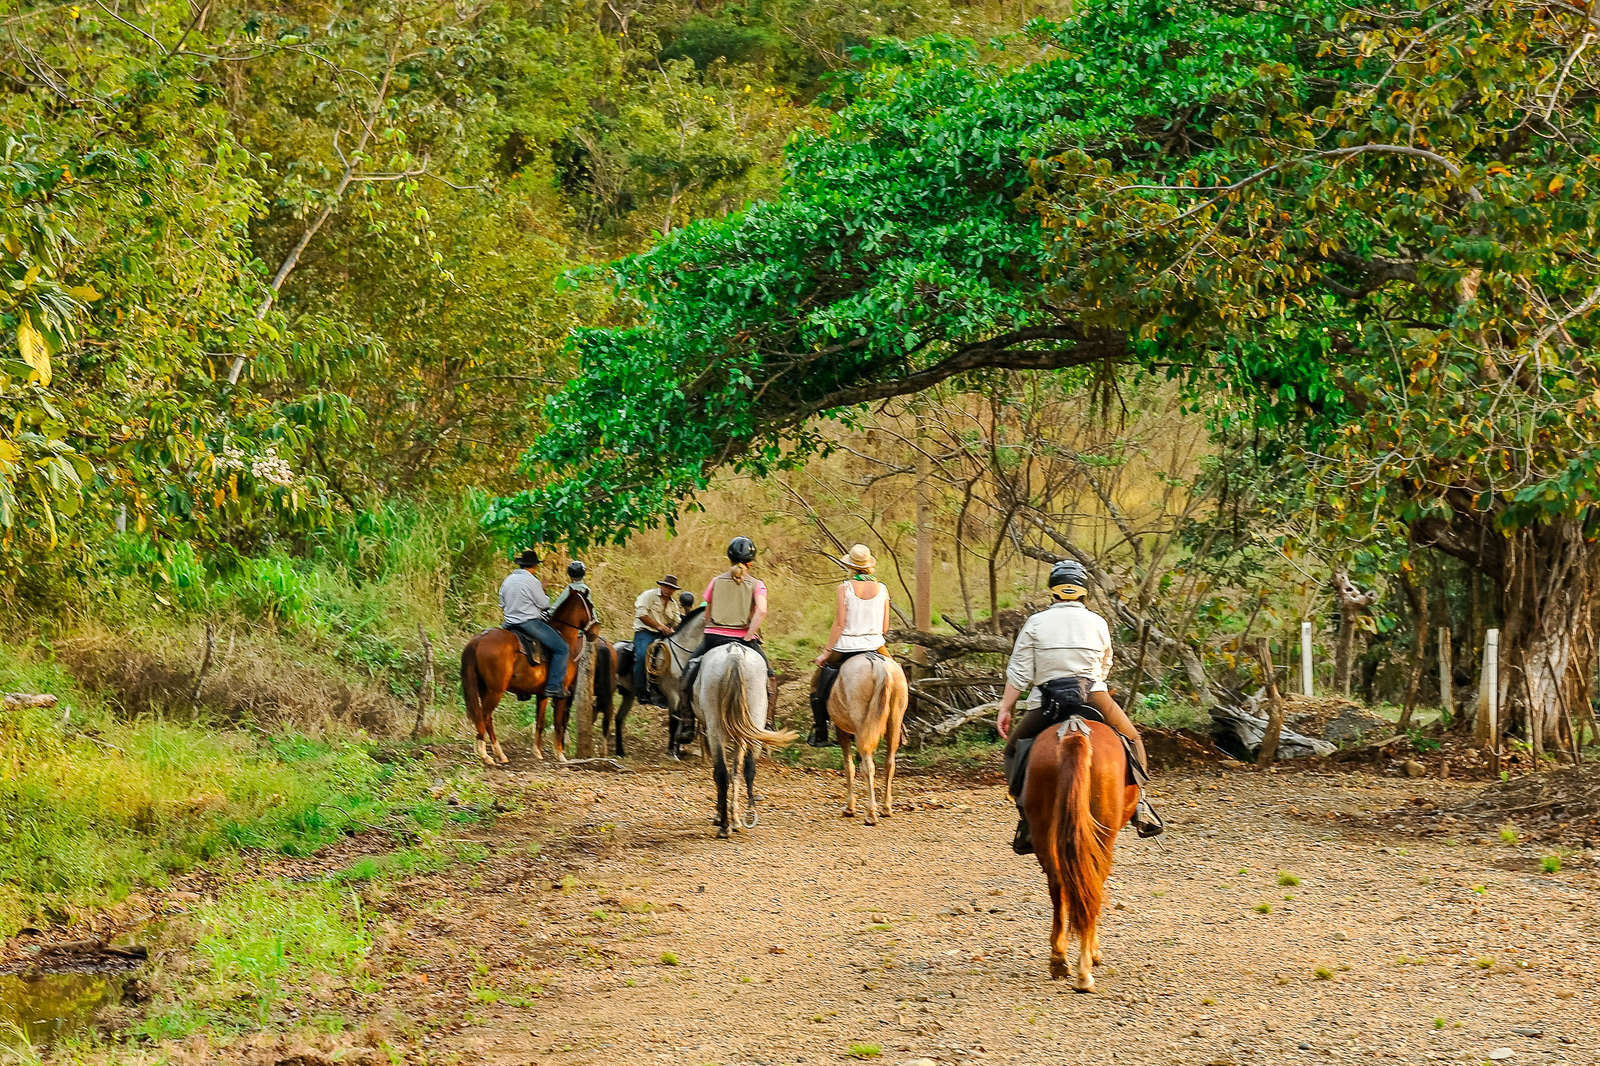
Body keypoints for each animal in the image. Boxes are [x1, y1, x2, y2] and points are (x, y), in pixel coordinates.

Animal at [464, 582, 601, 765]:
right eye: (590, 606)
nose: (595, 631)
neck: (565, 637)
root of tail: (478, 639)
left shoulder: (542, 694)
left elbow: (540, 722)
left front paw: (537, 752)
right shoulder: (562, 694)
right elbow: (558, 723)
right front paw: (560, 755)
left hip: (484, 689)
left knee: (487, 719)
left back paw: (498, 753)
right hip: (495, 691)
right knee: (484, 716)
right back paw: (486, 754)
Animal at [700, 640, 800, 838]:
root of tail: (735, 654)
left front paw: (721, 815)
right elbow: (741, 771)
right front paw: (737, 816)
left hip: (718, 729)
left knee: (724, 773)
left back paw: (726, 825)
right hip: (752, 724)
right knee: (746, 769)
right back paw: (743, 816)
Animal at [825, 653, 915, 816]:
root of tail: (879, 665)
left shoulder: (842, 730)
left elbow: (849, 766)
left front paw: (850, 807)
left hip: (862, 723)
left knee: (868, 765)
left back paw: (871, 813)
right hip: (894, 718)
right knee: (889, 763)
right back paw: (886, 808)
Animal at [1024, 713, 1139, 985]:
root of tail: (1074, 733)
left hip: (1045, 833)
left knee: (1058, 885)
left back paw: (1059, 959)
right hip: (1103, 837)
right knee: (1091, 885)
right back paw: (1085, 969)